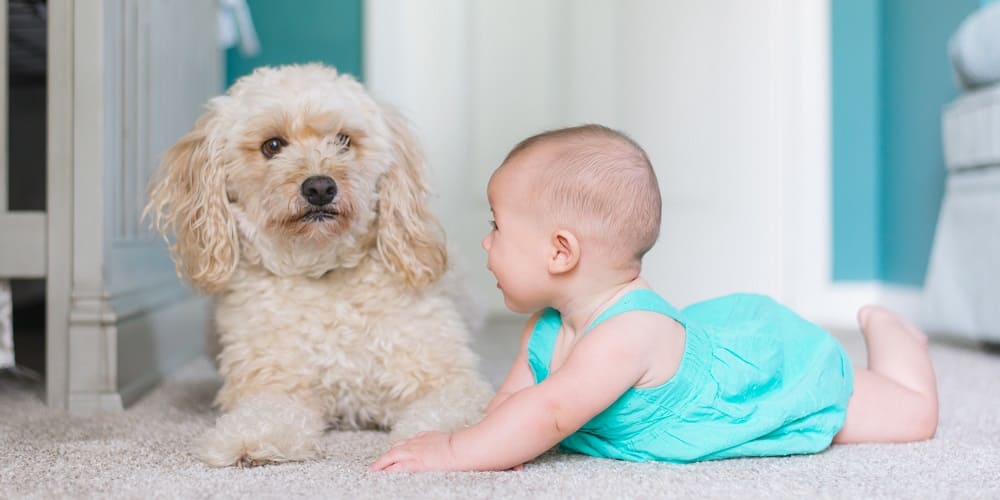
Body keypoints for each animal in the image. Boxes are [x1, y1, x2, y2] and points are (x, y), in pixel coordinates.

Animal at [146, 64, 496, 466]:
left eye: (343, 140)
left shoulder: (448, 379)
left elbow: (448, 411)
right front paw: (250, 438)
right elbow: (267, 414)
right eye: (272, 145)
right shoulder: (274, 384)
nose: (319, 188)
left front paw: (436, 442)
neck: (322, 272)